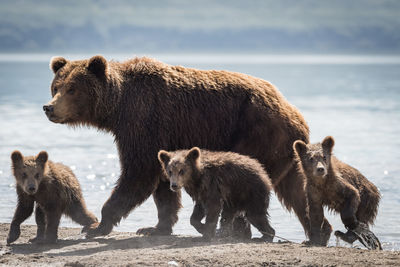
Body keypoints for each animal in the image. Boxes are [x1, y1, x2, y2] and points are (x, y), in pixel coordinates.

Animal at [43, 55, 332, 246]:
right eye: (56, 86)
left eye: (72, 88)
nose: (49, 108)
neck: (117, 107)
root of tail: (295, 114)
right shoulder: (159, 137)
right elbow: (162, 185)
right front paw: (154, 227)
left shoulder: (144, 121)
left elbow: (137, 174)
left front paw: (96, 226)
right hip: (288, 152)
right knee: (297, 193)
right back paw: (318, 232)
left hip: (258, 133)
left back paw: (238, 231)